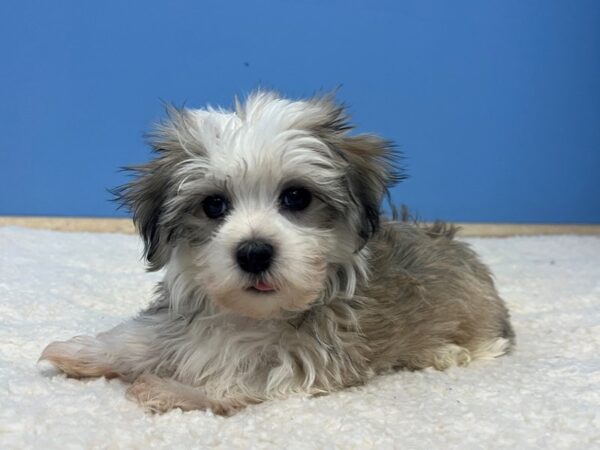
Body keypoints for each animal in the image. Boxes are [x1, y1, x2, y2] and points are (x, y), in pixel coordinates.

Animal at [39, 90, 512, 414]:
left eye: (296, 197)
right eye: (214, 206)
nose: (253, 252)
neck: (251, 316)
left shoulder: (312, 358)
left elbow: (240, 379)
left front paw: (176, 389)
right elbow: (145, 335)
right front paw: (86, 353)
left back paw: (445, 352)